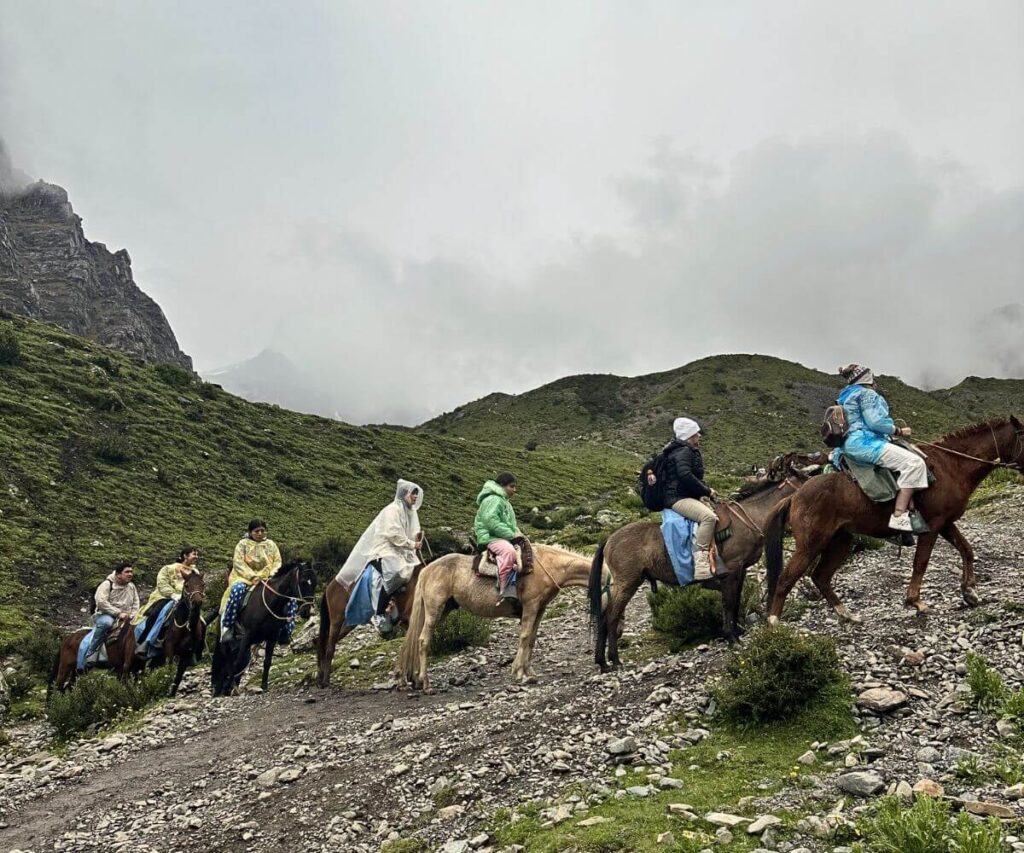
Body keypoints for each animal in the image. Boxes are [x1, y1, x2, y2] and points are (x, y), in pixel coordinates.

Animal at [210, 561, 315, 696]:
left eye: (315, 583)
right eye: (303, 582)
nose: (308, 611)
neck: (269, 605)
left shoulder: (271, 637)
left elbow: (267, 662)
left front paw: (264, 686)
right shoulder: (247, 636)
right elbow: (238, 662)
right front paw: (228, 687)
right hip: (227, 643)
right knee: (227, 661)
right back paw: (223, 688)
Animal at [395, 544, 602, 692]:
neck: (548, 566)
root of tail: (426, 570)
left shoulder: (539, 609)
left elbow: (532, 639)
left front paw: (529, 672)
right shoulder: (530, 607)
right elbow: (524, 637)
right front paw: (518, 672)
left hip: (443, 610)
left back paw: (411, 679)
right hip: (434, 611)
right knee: (423, 641)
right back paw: (425, 683)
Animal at [593, 475, 806, 667]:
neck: (748, 519)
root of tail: (609, 539)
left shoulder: (741, 572)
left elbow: (736, 603)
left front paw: (735, 632)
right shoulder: (732, 571)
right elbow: (729, 604)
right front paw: (732, 638)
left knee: (603, 617)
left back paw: (603, 663)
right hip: (628, 582)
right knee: (611, 616)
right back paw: (615, 660)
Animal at [770, 415, 1024, 622]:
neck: (952, 466)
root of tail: (795, 496)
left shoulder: (946, 524)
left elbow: (966, 549)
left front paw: (970, 592)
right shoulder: (932, 526)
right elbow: (921, 562)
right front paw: (916, 601)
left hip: (840, 541)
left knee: (820, 577)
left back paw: (848, 615)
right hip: (810, 545)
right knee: (785, 580)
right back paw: (774, 625)